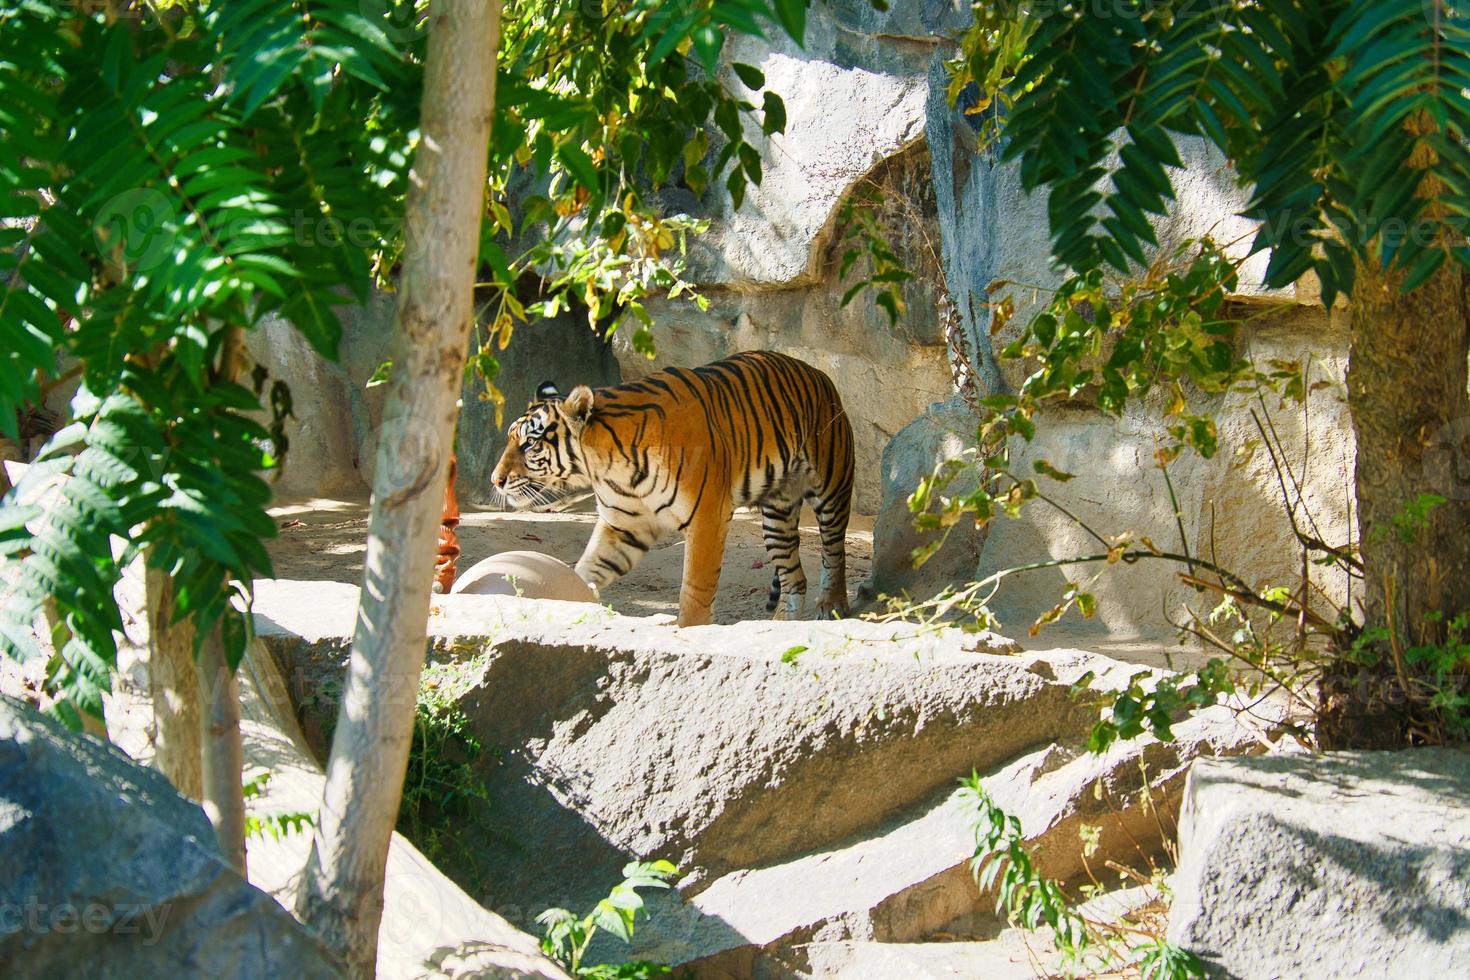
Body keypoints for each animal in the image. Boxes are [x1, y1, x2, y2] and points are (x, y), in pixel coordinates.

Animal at [488, 351, 858, 628]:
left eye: (530, 444)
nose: (495, 480)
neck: (607, 466)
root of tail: (818, 373)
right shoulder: (624, 525)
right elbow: (588, 568)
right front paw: (572, 601)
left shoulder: (707, 517)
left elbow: (695, 590)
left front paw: (691, 631)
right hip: (777, 517)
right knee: (795, 578)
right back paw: (779, 626)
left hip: (831, 490)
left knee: (833, 552)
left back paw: (832, 606)